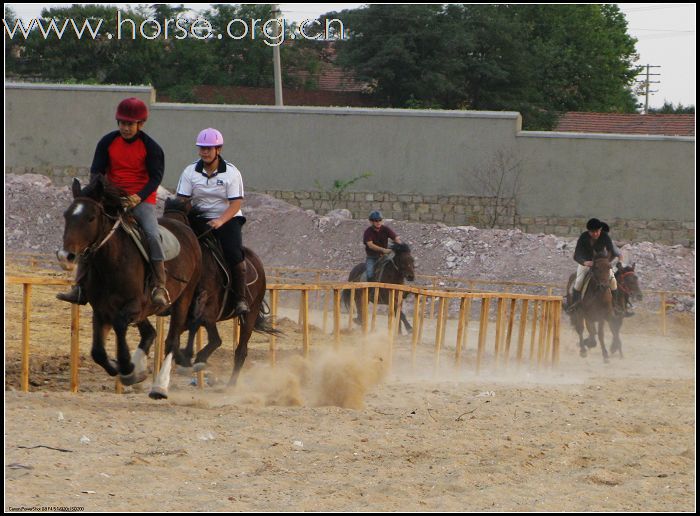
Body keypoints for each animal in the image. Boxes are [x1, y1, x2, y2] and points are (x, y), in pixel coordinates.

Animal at [56, 177, 201, 400]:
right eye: (67, 215)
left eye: (91, 218)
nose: (66, 257)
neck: (112, 262)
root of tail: (186, 230)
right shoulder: (101, 310)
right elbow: (97, 352)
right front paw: (124, 369)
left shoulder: (132, 306)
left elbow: (119, 325)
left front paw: (126, 366)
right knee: (150, 333)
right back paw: (140, 372)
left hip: (182, 301)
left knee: (171, 341)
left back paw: (159, 386)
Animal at [165, 199, 282, 388]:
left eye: (178, 223)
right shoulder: (188, 309)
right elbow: (179, 334)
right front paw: (185, 358)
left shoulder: (209, 307)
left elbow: (207, 332)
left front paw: (195, 358)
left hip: (249, 316)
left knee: (241, 350)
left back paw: (231, 385)